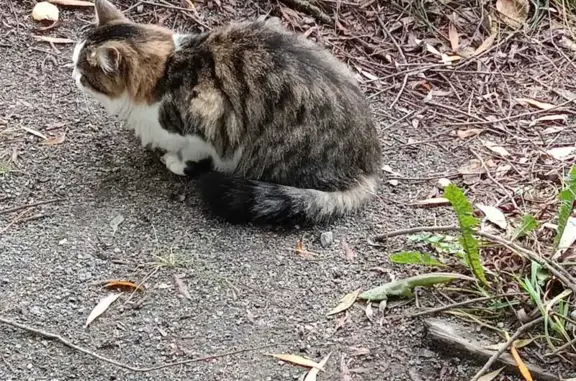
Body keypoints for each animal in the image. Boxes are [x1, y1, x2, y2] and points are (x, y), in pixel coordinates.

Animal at [74, 0, 384, 224]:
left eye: (84, 74)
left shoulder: (210, 117)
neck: (167, 70)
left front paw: (176, 162)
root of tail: (368, 166)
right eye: (75, 60)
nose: (72, 75)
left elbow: (194, 153)